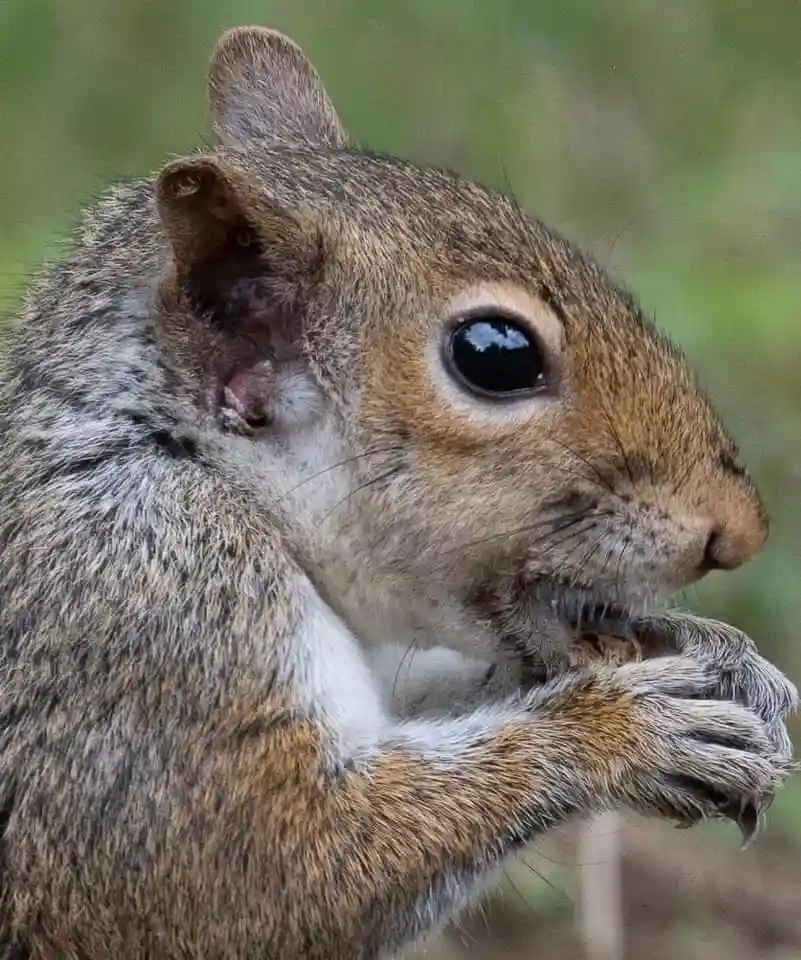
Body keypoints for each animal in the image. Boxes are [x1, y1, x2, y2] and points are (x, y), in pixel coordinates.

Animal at [0, 24, 796, 960]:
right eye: (494, 354)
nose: (736, 532)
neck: (187, 457)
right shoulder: (145, 632)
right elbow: (268, 871)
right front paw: (625, 731)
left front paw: (709, 653)